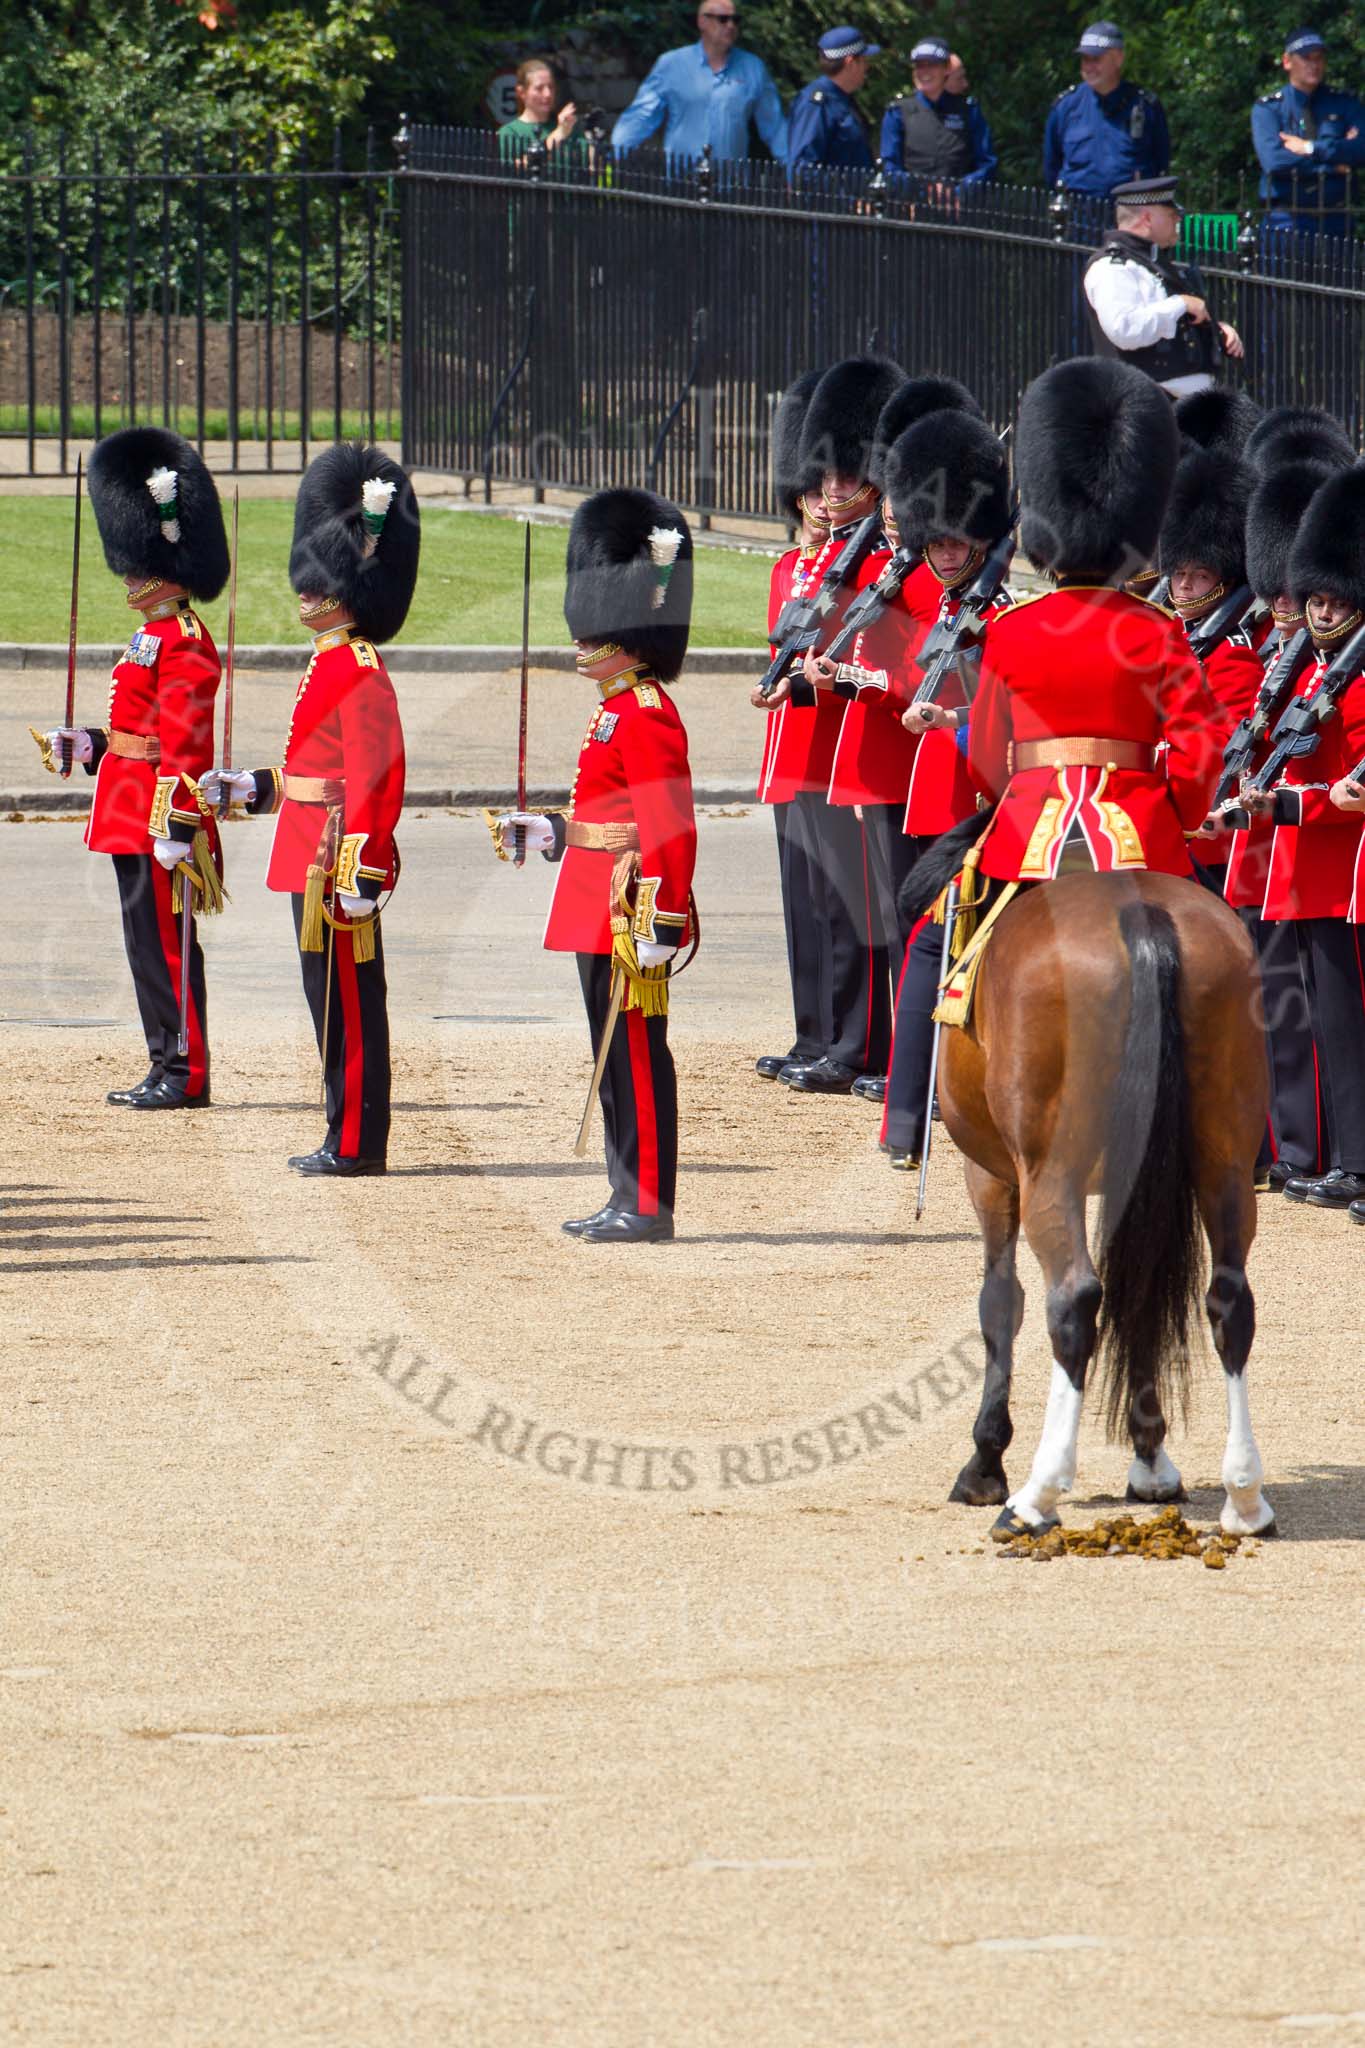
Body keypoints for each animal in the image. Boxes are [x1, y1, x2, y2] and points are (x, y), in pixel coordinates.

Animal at [903, 822, 1276, 1540]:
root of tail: (1139, 914)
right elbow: (1141, 1297)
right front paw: (1152, 1461)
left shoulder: (992, 1177)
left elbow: (1001, 1302)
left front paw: (985, 1462)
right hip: (1223, 1163)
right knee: (1228, 1301)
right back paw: (1244, 1495)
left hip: (1050, 1176)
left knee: (1072, 1300)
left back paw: (1036, 1495)